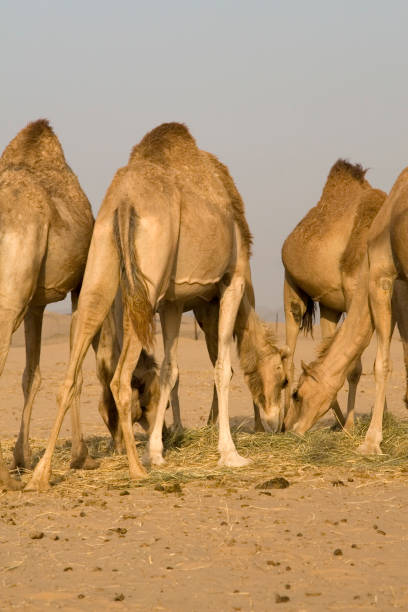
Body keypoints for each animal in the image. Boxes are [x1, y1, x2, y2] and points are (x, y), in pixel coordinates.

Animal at [0, 119, 95, 490]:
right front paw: (82, 456)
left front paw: (22, 458)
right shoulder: (80, 283)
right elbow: (77, 374)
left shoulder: (36, 302)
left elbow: (32, 375)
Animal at [27, 122, 288, 490]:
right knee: (119, 380)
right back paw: (136, 470)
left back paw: (41, 474)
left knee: (72, 369)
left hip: (101, 258)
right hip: (147, 282)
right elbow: (223, 367)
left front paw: (158, 451)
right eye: (284, 380)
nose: (279, 423)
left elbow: (169, 370)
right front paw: (230, 454)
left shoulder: (173, 303)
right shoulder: (233, 280)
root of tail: (124, 201)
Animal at [282, 166, 408, 454]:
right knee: (290, 350)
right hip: (292, 286)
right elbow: (357, 367)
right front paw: (357, 428)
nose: (289, 427)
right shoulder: (365, 290)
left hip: (329, 305)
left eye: (298, 395)